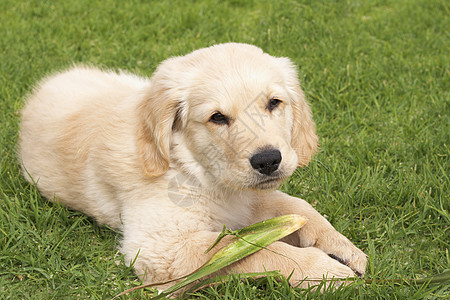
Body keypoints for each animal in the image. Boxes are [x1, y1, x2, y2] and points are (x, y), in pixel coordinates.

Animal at [19, 42, 368, 288]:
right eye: (217, 118)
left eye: (274, 103)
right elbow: (248, 247)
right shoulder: (162, 246)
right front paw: (321, 270)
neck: (194, 169)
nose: (268, 160)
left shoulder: (247, 196)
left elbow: (296, 206)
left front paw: (340, 245)